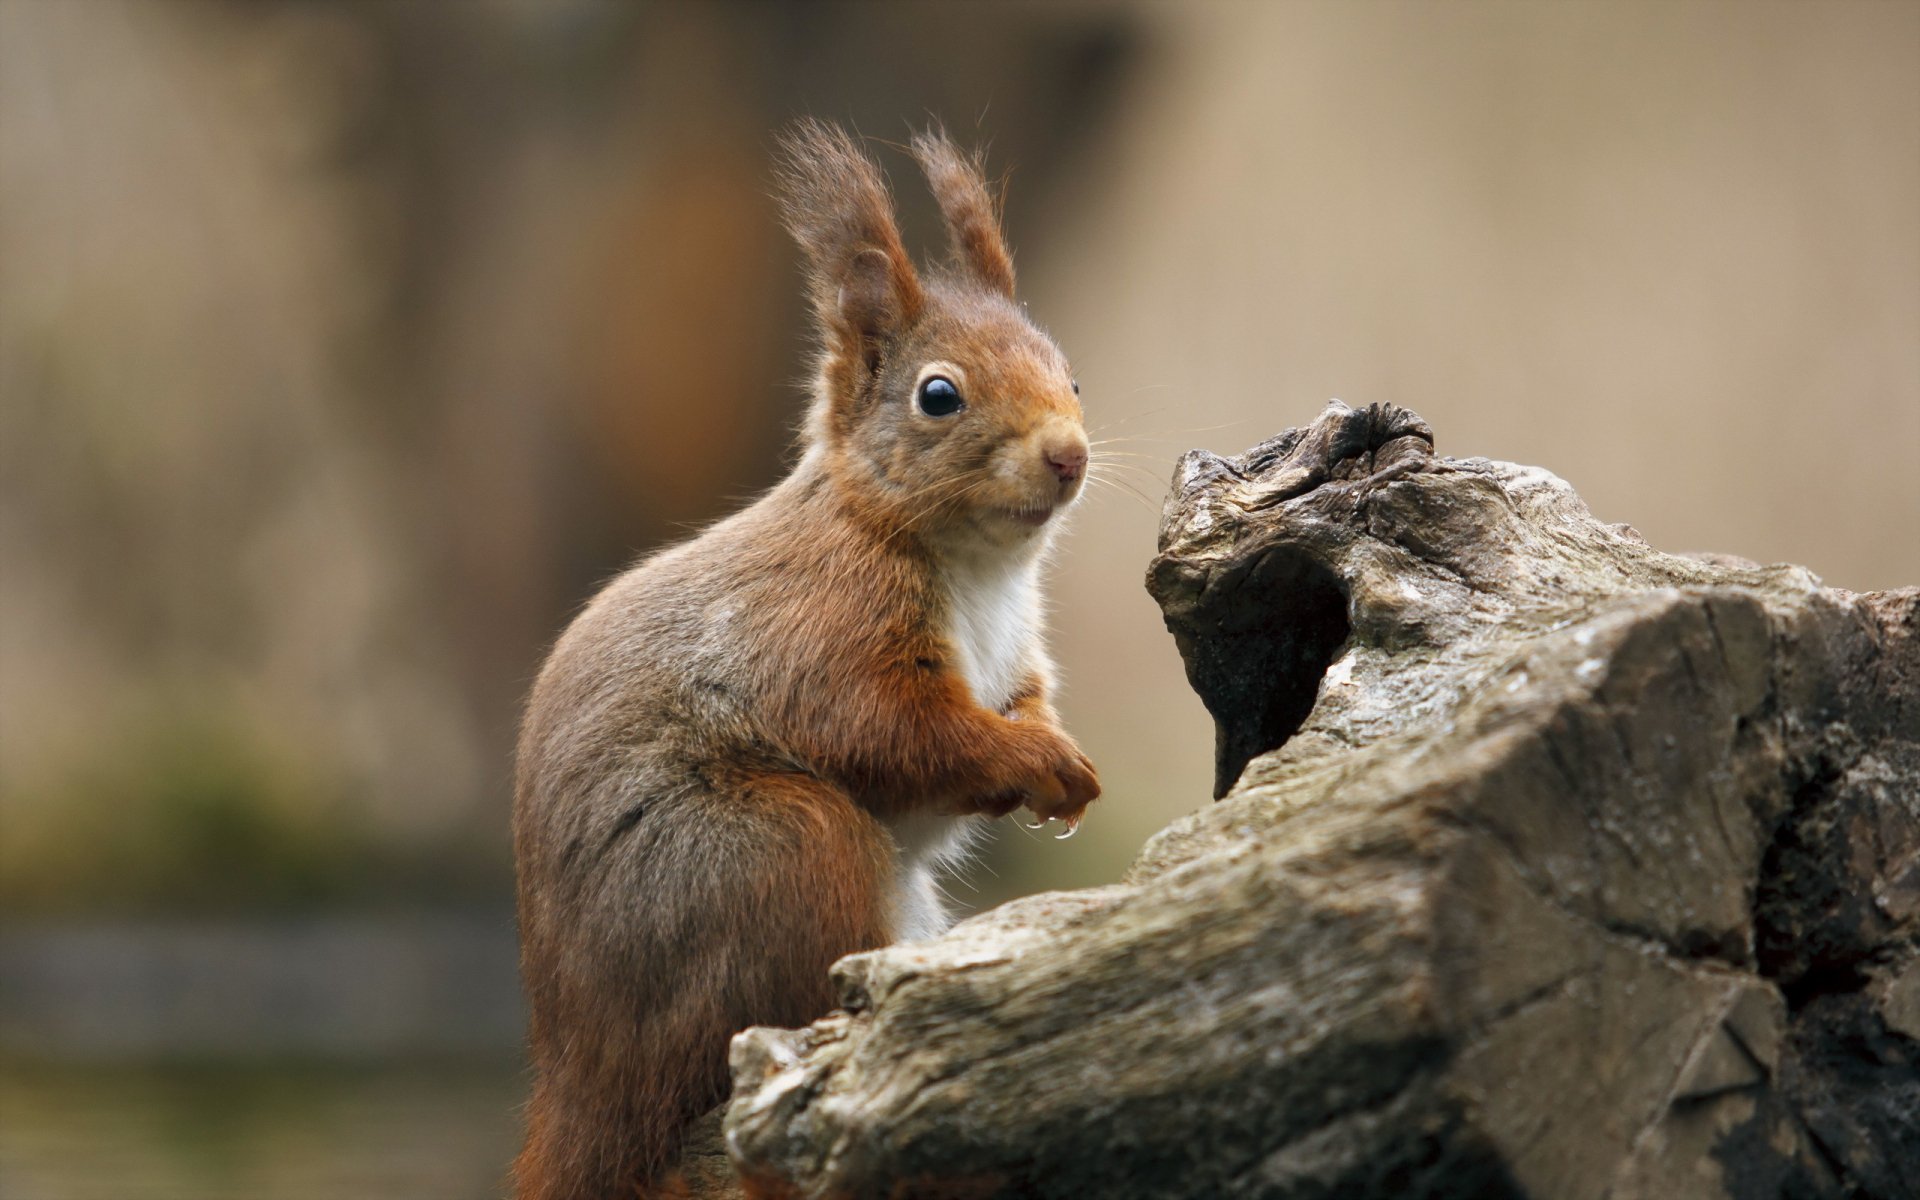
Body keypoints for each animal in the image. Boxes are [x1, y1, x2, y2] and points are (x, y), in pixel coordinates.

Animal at [510, 120, 1101, 1200]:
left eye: (1070, 376)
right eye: (939, 396)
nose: (1068, 456)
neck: (977, 566)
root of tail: (582, 1082)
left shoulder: (1015, 657)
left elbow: (1020, 702)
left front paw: (1062, 765)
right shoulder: (820, 629)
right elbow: (894, 732)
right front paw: (1035, 762)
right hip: (775, 852)